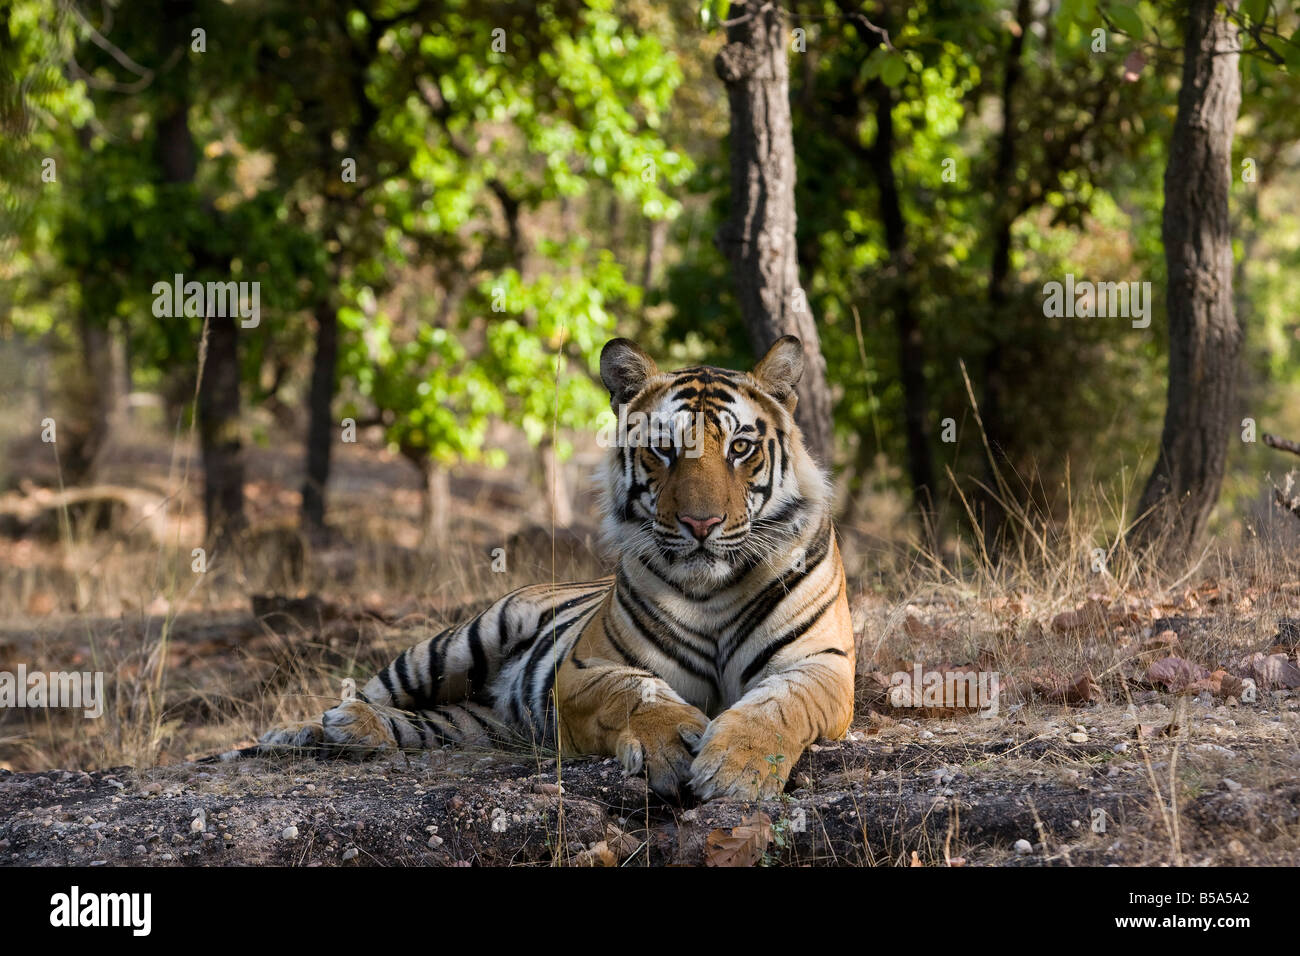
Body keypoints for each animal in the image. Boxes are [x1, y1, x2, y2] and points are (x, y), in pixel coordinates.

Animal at [223, 335, 852, 801]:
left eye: (741, 448)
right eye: (663, 449)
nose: (702, 524)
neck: (711, 588)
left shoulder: (821, 664)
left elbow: (777, 706)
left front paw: (736, 768)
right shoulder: (586, 667)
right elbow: (638, 692)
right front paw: (671, 744)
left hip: (481, 720)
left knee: (432, 722)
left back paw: (356, 731)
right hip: (457, 642)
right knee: (374, 692)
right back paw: (308, 729)